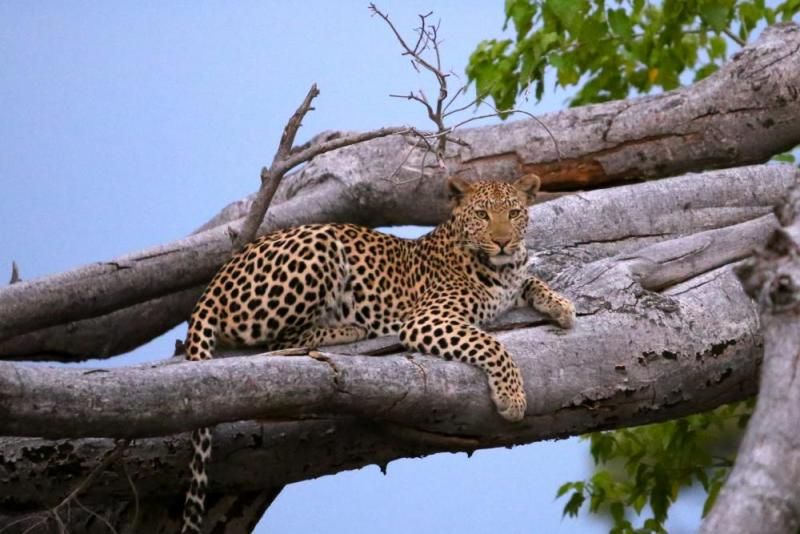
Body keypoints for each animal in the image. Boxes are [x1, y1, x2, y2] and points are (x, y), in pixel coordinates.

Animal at [180, 174, 576, 533]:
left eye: (514, 213)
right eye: (481, 214)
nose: (503, 241)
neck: (501, 269)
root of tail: (216, 280)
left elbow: (532, 280)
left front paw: (561, 305)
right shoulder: (426, 319)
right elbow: (493, 345)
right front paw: (512, 397)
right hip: (319, 248)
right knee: (279, 342)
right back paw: (349, 327)